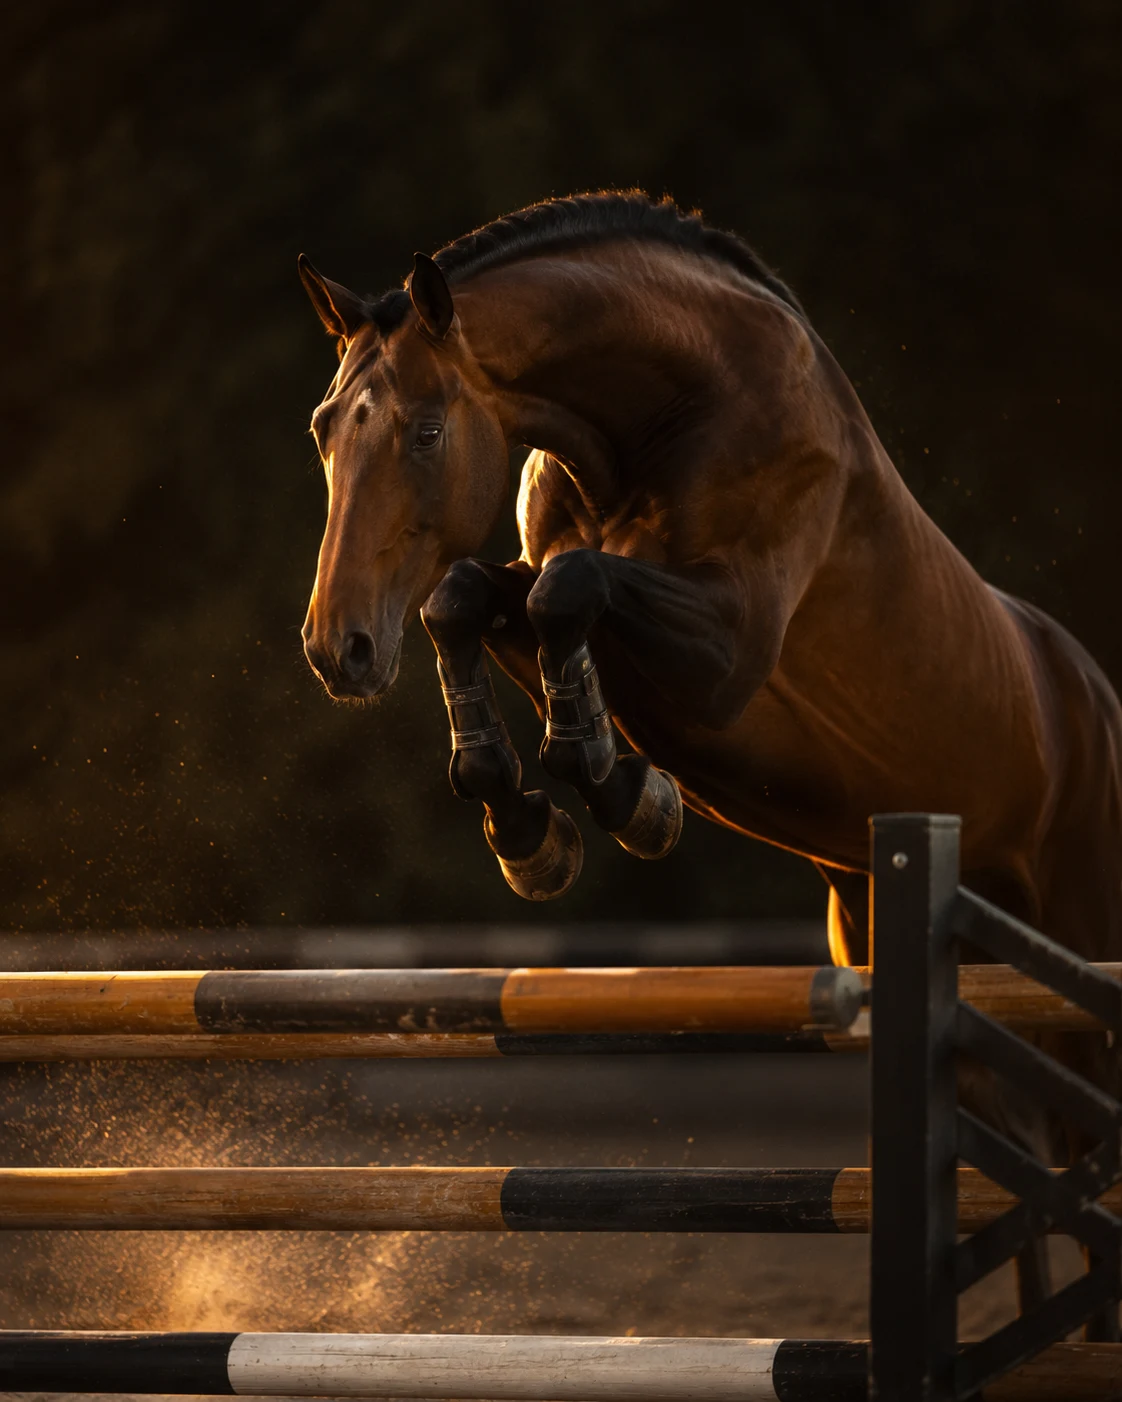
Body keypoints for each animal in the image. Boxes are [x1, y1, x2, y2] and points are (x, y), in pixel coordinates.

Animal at [298, 191, 1122, 1326]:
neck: (664, 414)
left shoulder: (726, 653)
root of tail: (1095, 699)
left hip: (1081, 950)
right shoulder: (547, 586)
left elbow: (566, 591)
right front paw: (537, 823)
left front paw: (620, 790)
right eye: (324, 430)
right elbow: (476, 595)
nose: (336, 650)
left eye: (424, 430)